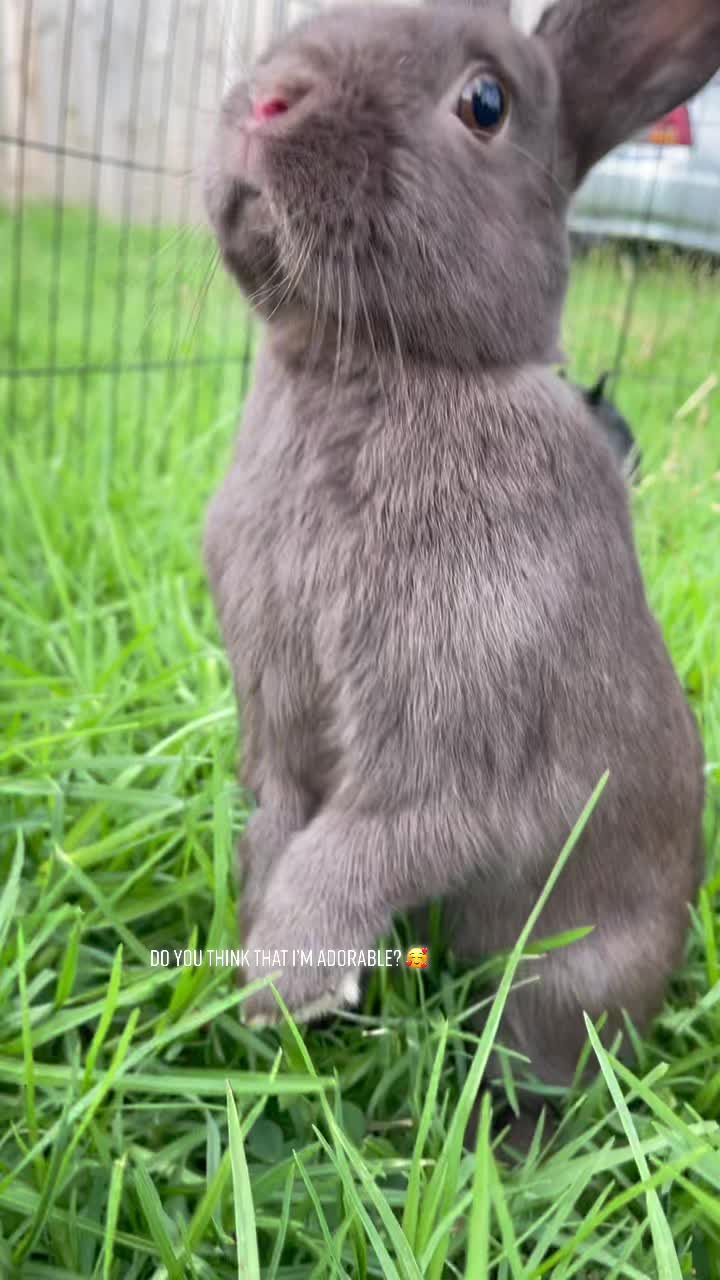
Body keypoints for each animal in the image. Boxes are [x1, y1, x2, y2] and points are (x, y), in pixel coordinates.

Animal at [203, 0, 715, 1104]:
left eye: (487, 103)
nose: (270, 98)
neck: (367, 365)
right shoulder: (275, 714)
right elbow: (279, 820)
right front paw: (259, 956)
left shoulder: (450, 739)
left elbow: (367, 840)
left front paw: (286, 986)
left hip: (564, 979)